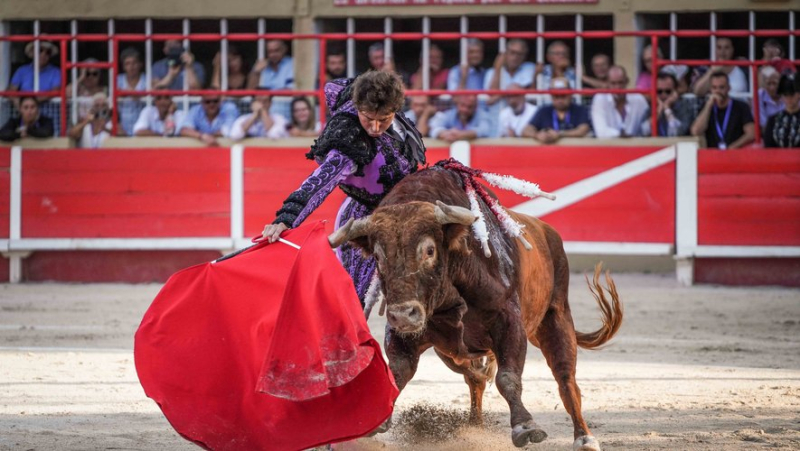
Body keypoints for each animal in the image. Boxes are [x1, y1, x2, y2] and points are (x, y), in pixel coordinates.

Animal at [328, 167, 620, 451]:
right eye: (377, 256)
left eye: (430, 250)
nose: (403, 315)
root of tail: (547, 232)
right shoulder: (402, 332)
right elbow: (399, 370)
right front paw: (375, 420)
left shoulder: (509, 321)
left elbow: (508, 376)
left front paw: (525, 426)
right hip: (451, 352)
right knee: (475, 379)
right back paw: (475, 428)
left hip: (556, 317)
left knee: (565, 379)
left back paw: (584, 438)